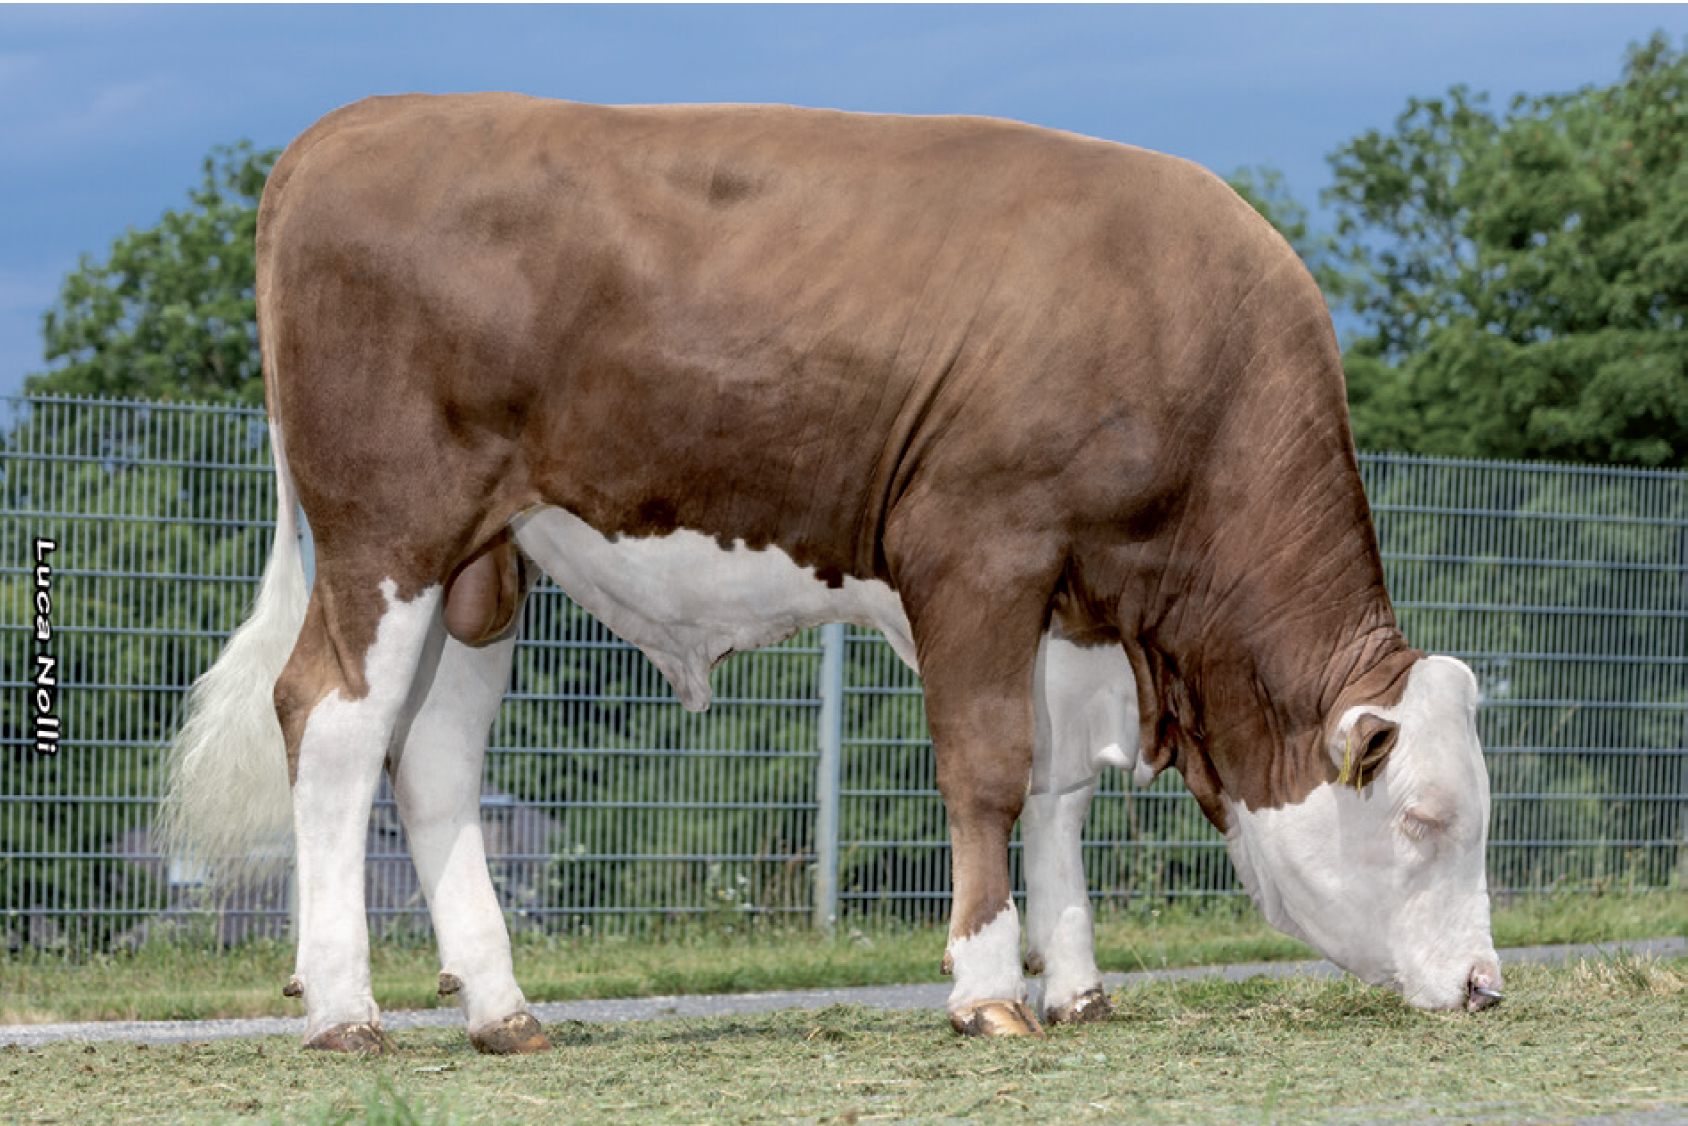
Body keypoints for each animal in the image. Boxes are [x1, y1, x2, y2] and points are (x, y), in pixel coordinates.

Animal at [163, 93, 1502, 1055]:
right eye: (1422, 817)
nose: (1486, 985)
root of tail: (353, 126)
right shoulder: (978, 547)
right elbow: (988, 769)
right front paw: (985, 989)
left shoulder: (1075, 596)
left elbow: (1060, 786)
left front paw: (1075, 986)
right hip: (387, 532)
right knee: (334, 719)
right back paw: (344, 1009)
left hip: (481, 567)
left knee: (433, 753)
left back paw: (502, 1010)